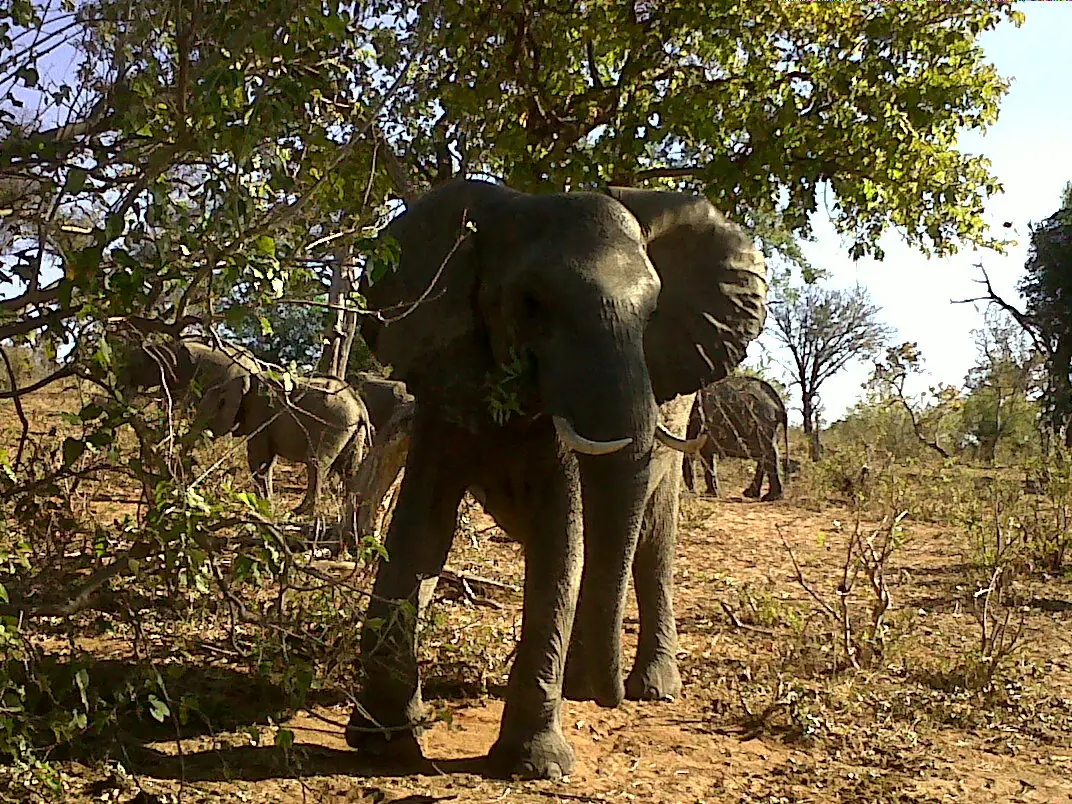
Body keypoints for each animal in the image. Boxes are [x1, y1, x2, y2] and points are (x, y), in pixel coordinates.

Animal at [209, 373, 373, 514]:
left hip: (335, 423)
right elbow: (267, 461)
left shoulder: (259, 415)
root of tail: (360, 407)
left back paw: (302, 512)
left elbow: (259, 460)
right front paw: (267, 505)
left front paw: (262, 506)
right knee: (349, 468)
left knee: (316, 463)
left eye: (219, 405)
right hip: (354, 430)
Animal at [345, 178, 767, 780]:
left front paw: (535, 766)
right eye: (531, 304)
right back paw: (582, 682)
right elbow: (418, 537)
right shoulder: (446, 375)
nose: (609, 700)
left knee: (650, 542)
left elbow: (561, 547)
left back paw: (645, 690)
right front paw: (384, 745)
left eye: (654, 312)